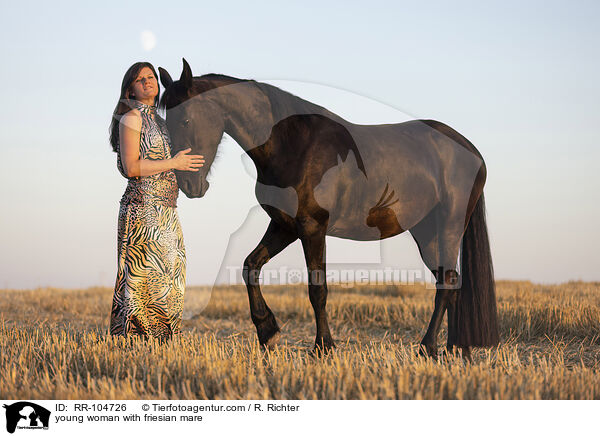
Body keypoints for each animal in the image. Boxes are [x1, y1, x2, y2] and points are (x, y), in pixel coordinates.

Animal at [157, 58, 500, 358]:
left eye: (185, 119)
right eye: (166, 122)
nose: (189, 185)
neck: (291, 145)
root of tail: (471, 152)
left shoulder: (312, 227)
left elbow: (317, 289)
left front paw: (323, 347)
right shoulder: (285, 226)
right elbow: (250, 266)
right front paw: (268, 332)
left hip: (448, 227)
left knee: (447, 283)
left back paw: (428, 348)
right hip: (427, 233)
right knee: (451, 284)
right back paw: (457, 350)